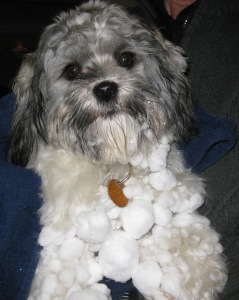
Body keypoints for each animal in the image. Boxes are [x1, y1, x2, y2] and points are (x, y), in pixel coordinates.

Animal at [8, 1, 226, 298]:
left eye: (126, 58)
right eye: (72, 70)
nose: (105, 89)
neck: (113, 160)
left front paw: (195, 268)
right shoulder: (66, 219)